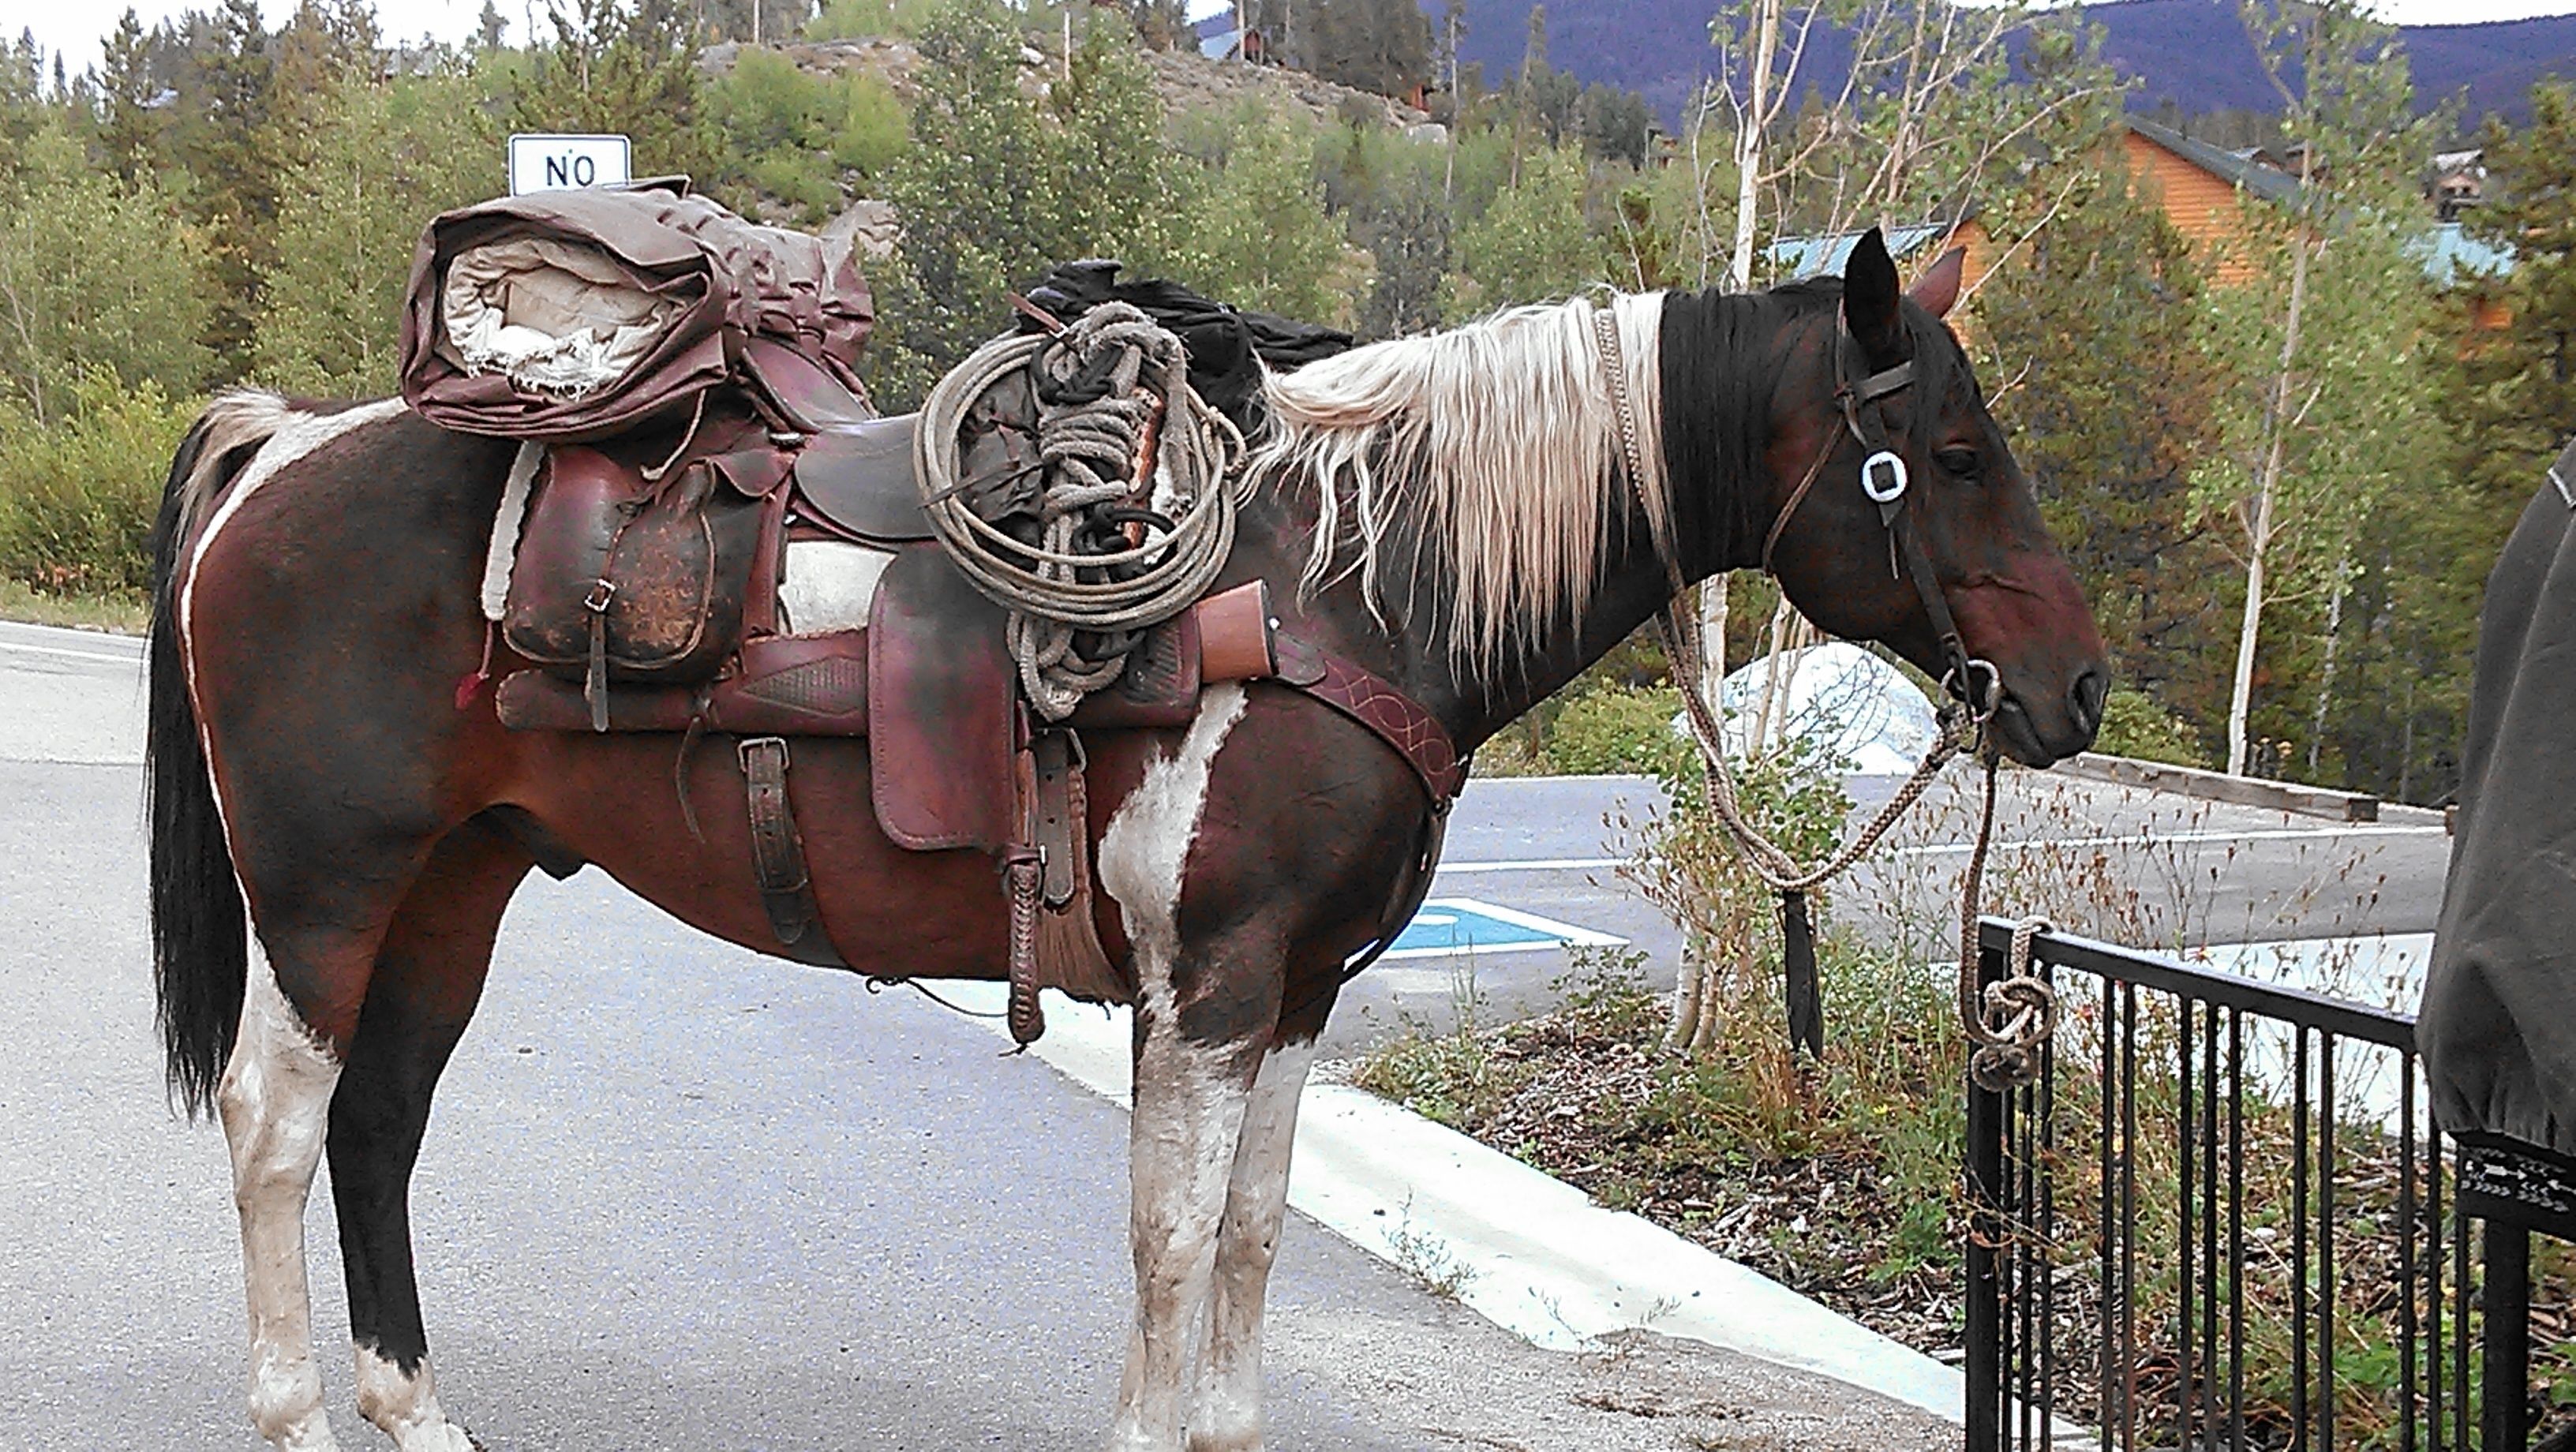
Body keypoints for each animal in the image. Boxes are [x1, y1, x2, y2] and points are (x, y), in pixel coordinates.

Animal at [147, 227, 2108, 1452]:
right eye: (1949, 451)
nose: (2077, 690)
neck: (1343, 584)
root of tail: (282, 447)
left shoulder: (1301, 992)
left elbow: (1248, 1235)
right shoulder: (1209, 983)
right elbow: (1170, 1236)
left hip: (454, 880)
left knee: (379, 1121)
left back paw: (413, 1404)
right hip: (325, 887)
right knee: (275, 1123)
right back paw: (298, 1408)